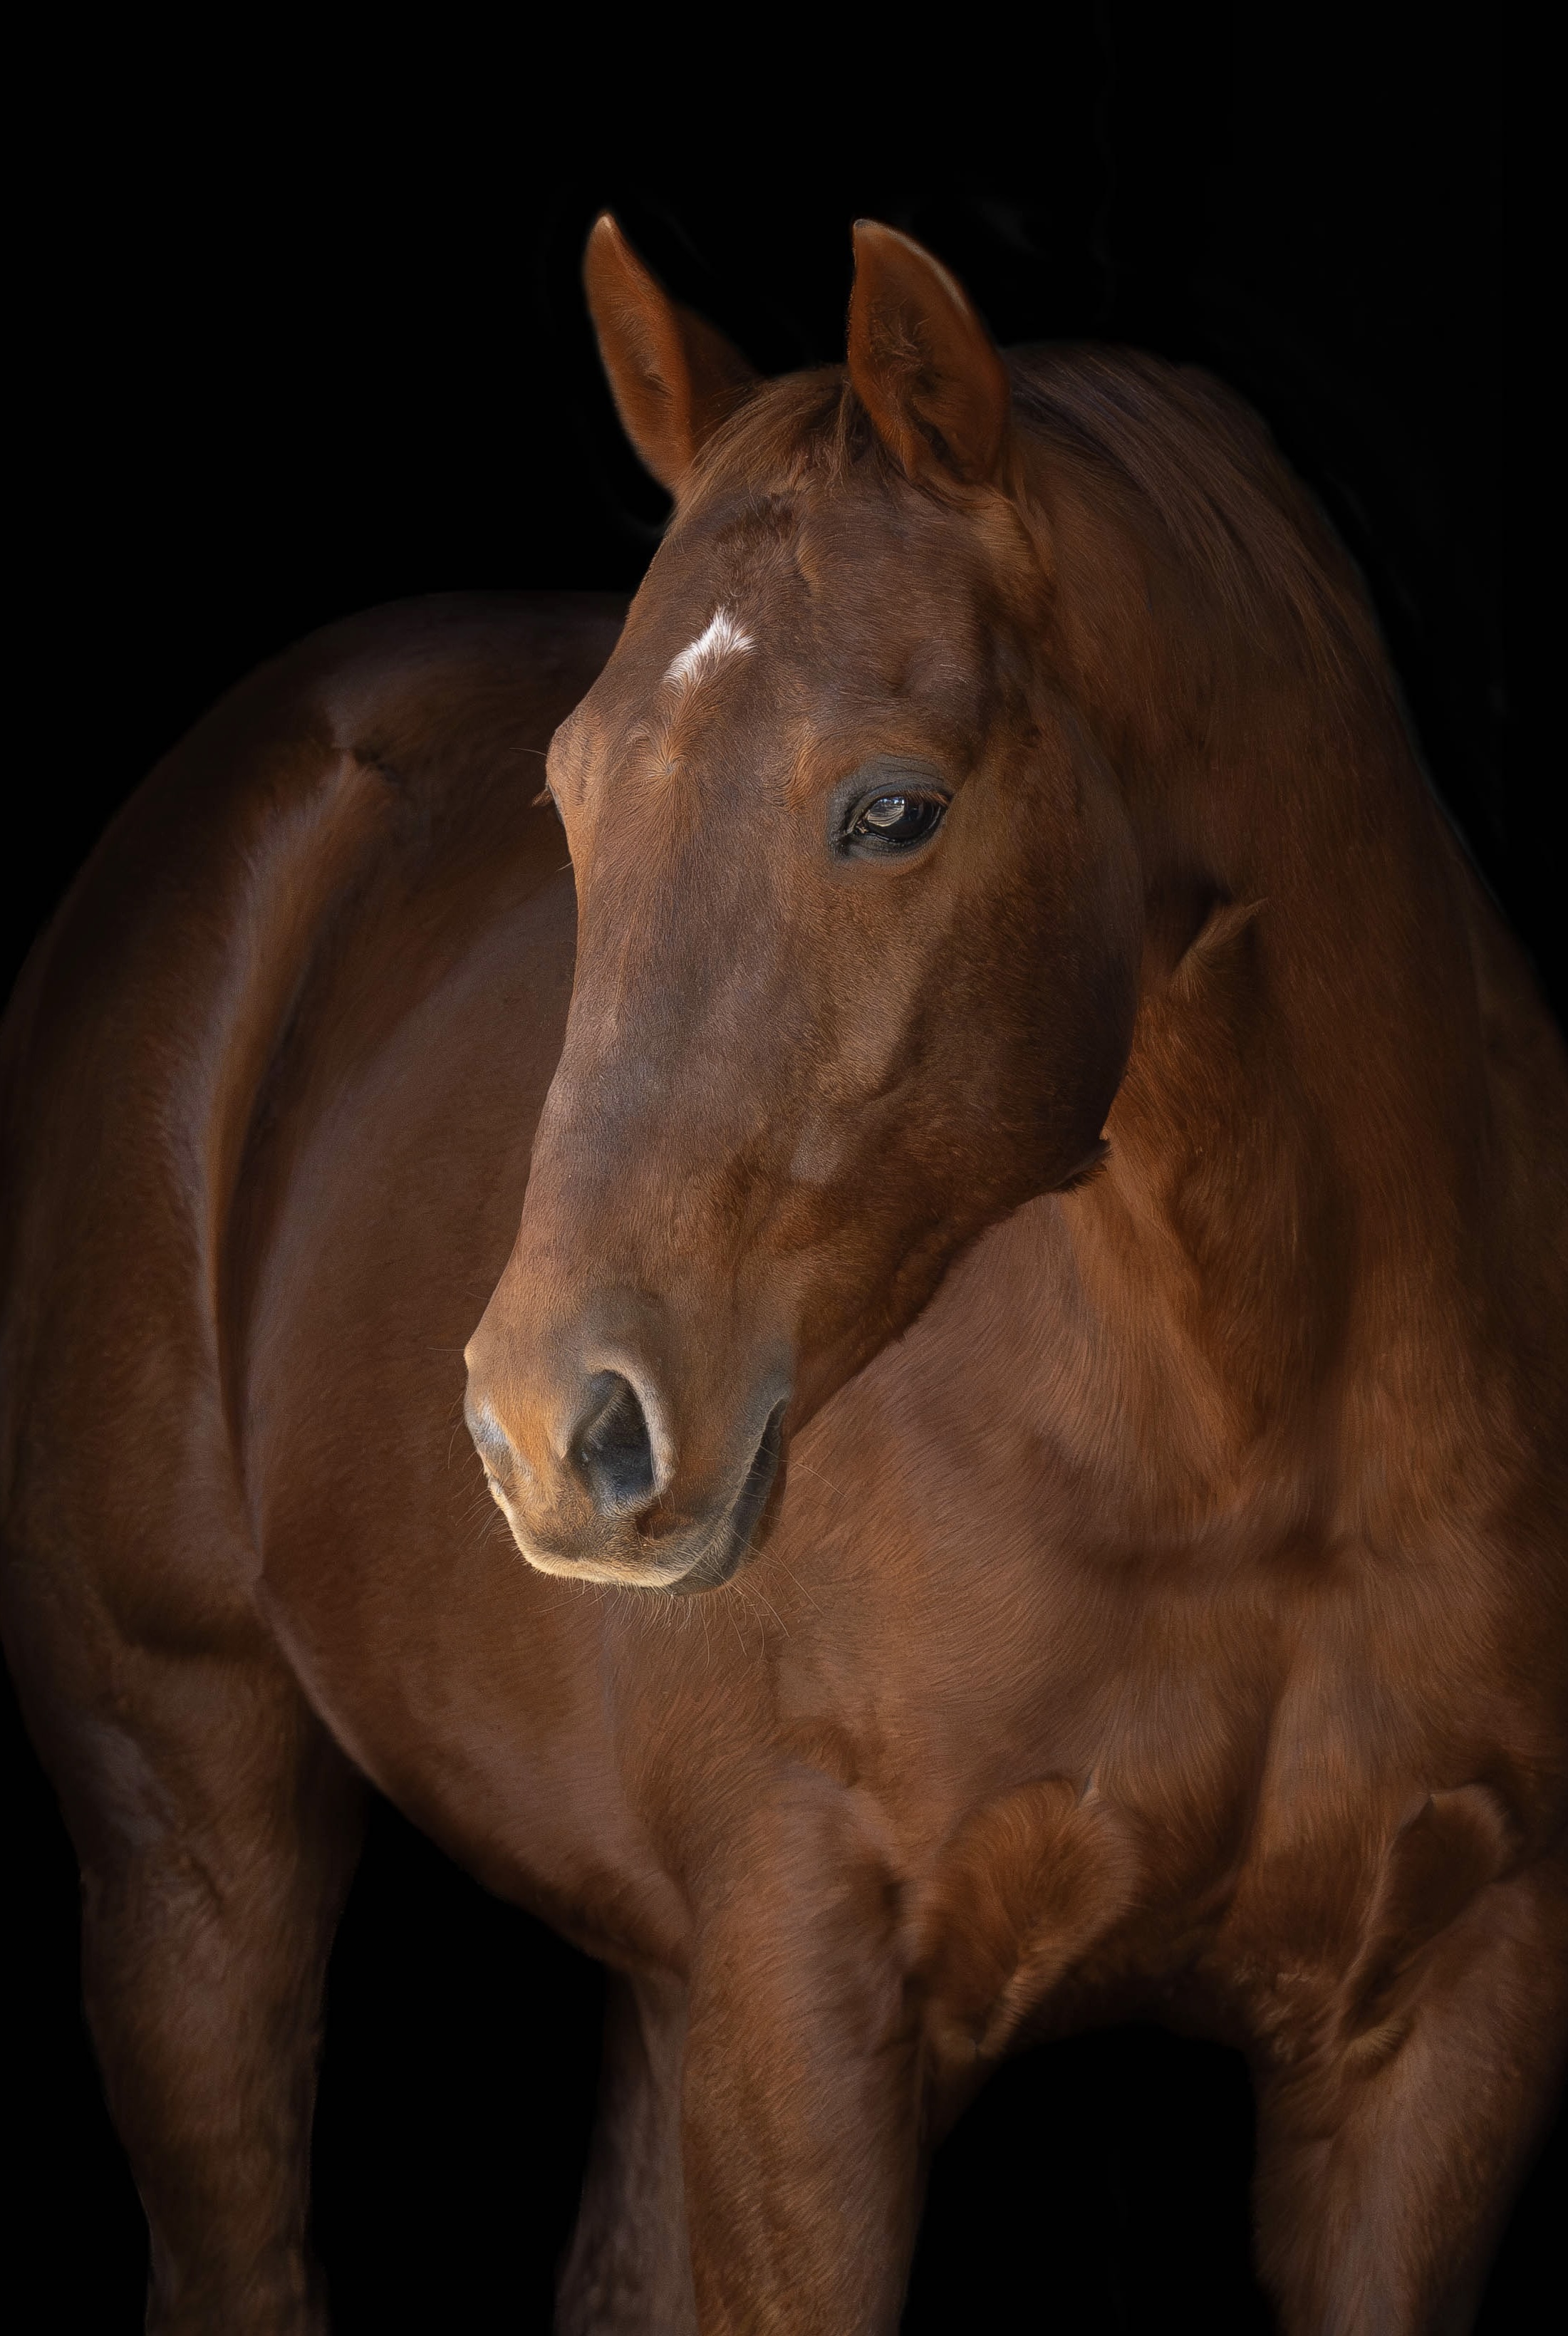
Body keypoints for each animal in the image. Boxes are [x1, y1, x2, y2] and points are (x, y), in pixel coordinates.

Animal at [2, 213, 1564, 2334]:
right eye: (572, 793)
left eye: (891, 805)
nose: (547, 1427)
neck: (1257, 1442)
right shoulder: (807, 2015)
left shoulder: (1440, 2031)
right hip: (188, 1827)